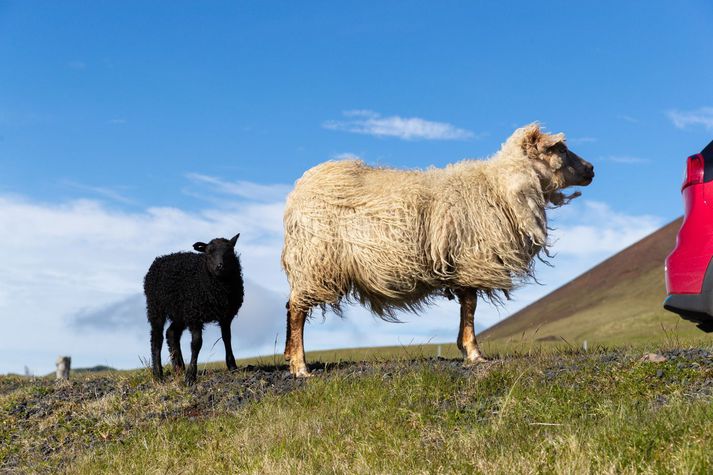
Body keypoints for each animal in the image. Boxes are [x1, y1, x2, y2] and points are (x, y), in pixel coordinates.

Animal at [144, 234, 245, 386]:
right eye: (208, 252)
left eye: (230, 251)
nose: (220, 266)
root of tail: (160, 259)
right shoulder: (195, 315)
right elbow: (196, 343)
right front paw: (191, 376)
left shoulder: (226, 316)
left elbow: (227, 338)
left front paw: (232, 366)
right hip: (156, 307)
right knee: (157, 338)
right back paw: (158, 375)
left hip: (180, 312)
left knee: (171, 333)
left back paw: (179, 368)